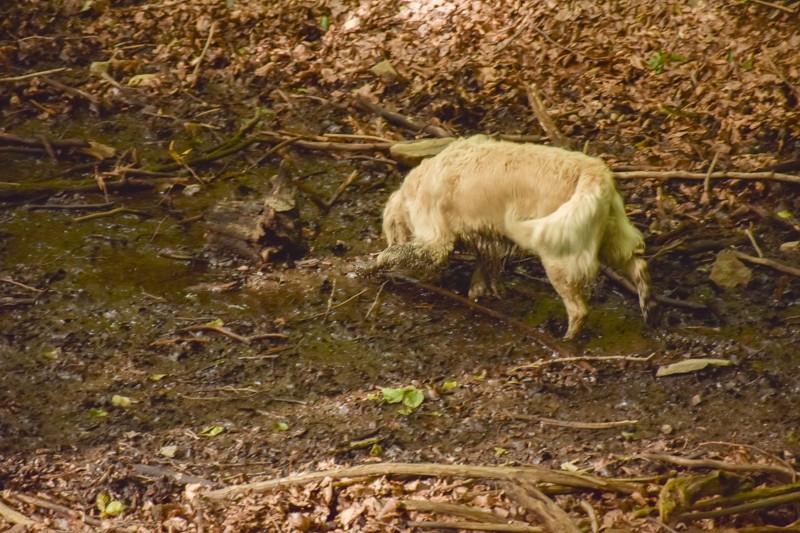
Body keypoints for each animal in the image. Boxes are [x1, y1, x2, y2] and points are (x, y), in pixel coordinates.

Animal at [378, 135, 652, 338]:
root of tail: (596, 172)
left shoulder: (436, 242)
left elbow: (408, 252)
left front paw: (381, 259)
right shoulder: (486, 236)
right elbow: (485, 265)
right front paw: (483, 291)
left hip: (557, 254)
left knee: (579, 310)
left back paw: (566, 340)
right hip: (609, 238)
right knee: (638, 265)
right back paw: (648, 308)